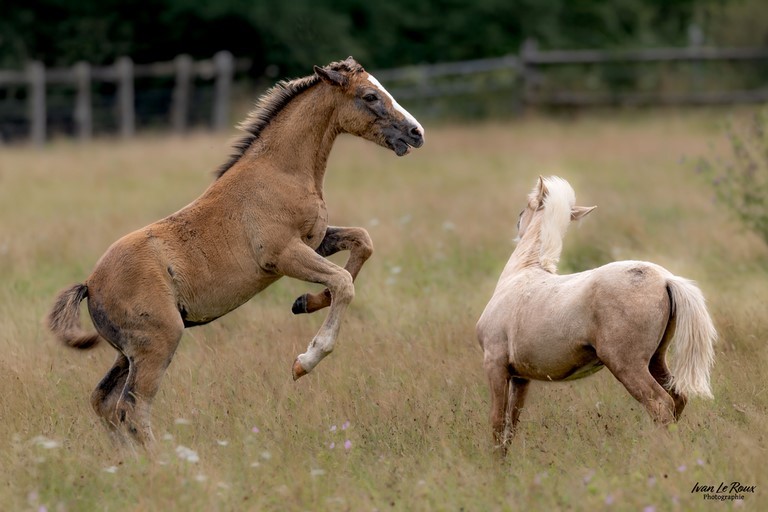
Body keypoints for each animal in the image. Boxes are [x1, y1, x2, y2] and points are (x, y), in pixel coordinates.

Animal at [47, 57, 425, 447]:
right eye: (370, 96)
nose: (416, 132)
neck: (281, 171)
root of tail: (90, 284)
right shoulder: (284, 255)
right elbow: (344, 281)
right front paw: (305, 360)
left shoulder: (315, 241)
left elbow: (361, 245)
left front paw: (304, 302)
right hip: (158, 345)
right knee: (132, 410)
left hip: (128, 353)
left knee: (103, 402)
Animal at [476, 176, 716, 452]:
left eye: (528, 205)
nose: (518, 222)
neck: (522, 273)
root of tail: (666, 279)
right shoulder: (521, 378)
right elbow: (511, 424)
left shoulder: (495, 364)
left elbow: (497, 421)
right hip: (656, 359)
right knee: (678, 398)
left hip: (629, 366)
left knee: (660, 403)